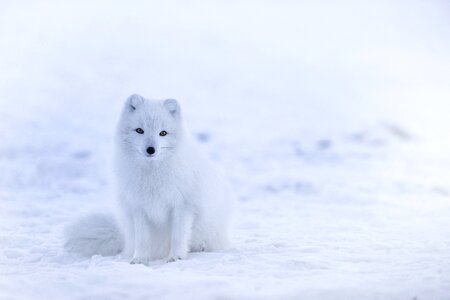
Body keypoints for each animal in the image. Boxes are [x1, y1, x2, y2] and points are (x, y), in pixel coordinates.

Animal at [66, 95, 236, 264]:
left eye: (163, 133)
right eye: (139, 130)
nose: (150, 149)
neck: (152, 174)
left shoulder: (183, 206)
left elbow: (178, 236)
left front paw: (176, 257)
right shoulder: (139, 207)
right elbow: (142, 239)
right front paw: (139, 259)